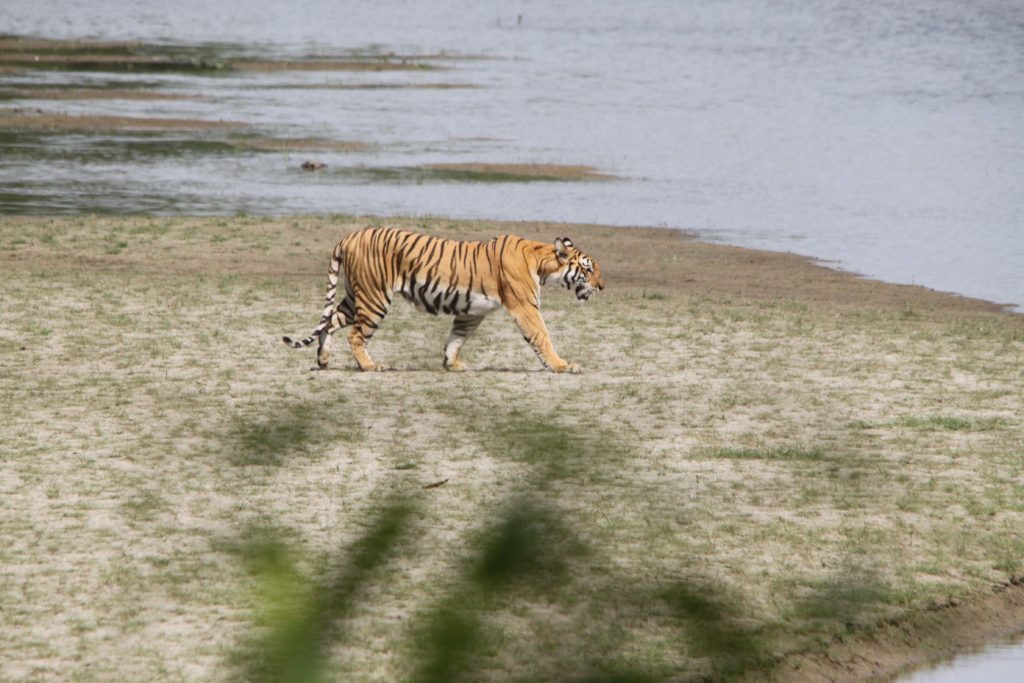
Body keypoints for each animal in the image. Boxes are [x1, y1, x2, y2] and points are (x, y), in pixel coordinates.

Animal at [280, 227, 602, 370]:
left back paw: (323, 359)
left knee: (329, 322)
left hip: (356, 295)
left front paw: (451, 363)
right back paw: (370, 366)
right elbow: (541, 335)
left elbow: (457, 337)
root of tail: (349, 235)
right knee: (355, 335)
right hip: (374, 299)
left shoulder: (472, 311)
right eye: (588, 269)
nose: (602, 287)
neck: (542, 262)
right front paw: (562, 365)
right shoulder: (525, 307)